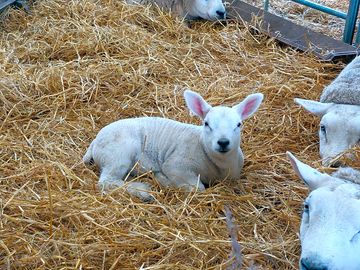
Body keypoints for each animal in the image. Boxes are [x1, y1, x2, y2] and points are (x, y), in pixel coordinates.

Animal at [83, 89, 264, 201]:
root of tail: (95, 141)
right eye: (206, 123)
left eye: (239, 124)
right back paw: (143, 191)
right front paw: (164, 180)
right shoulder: (176, 165)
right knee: (106, 182)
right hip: (119, 152)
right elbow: (197, 188)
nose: (223, 142)